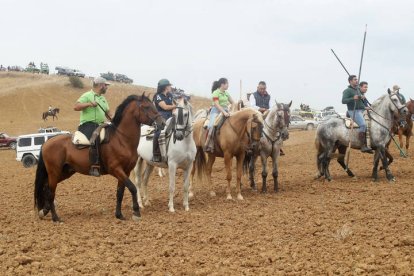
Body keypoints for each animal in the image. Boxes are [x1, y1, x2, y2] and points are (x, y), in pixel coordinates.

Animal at [33, 95, 165, 222]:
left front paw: (119, 215)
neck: (121, 139)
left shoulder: (125, 171)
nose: (162, 123)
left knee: (46, 187)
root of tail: (47, 143)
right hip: (54, 172)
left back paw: (44, 211)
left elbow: (120, 192)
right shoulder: (116, 169)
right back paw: (55, 217)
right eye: (146, 107)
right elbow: (132, 188)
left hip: (65, 172)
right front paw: (136, 213)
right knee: (50, 192)